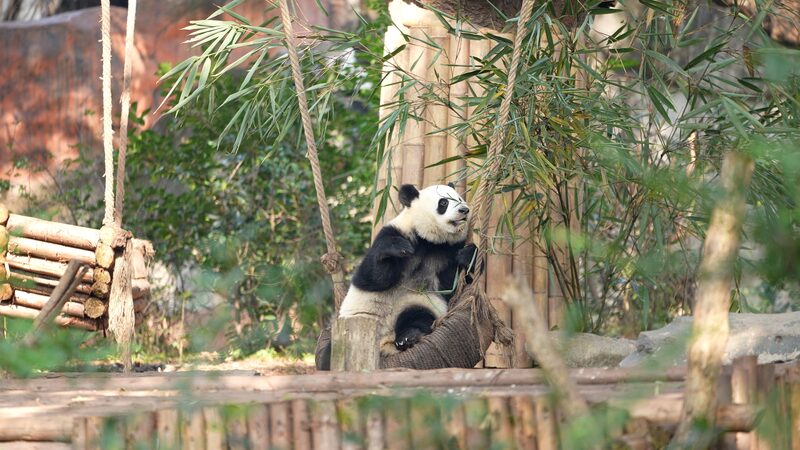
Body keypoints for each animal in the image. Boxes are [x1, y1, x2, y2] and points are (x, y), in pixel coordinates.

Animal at [316, 183, 476, 370]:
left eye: (459, 198)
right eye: (443, 202)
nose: (464, 210)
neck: (430, 241)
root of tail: (384, 343)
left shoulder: (448, 251)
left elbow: (451, 287)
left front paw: (468, 256)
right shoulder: (394, 232)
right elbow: (374, 277)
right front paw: (398, 248)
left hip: (414, 302)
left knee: (417, 316)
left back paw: (408, 337)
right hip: (351, 326)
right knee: (329, 355)